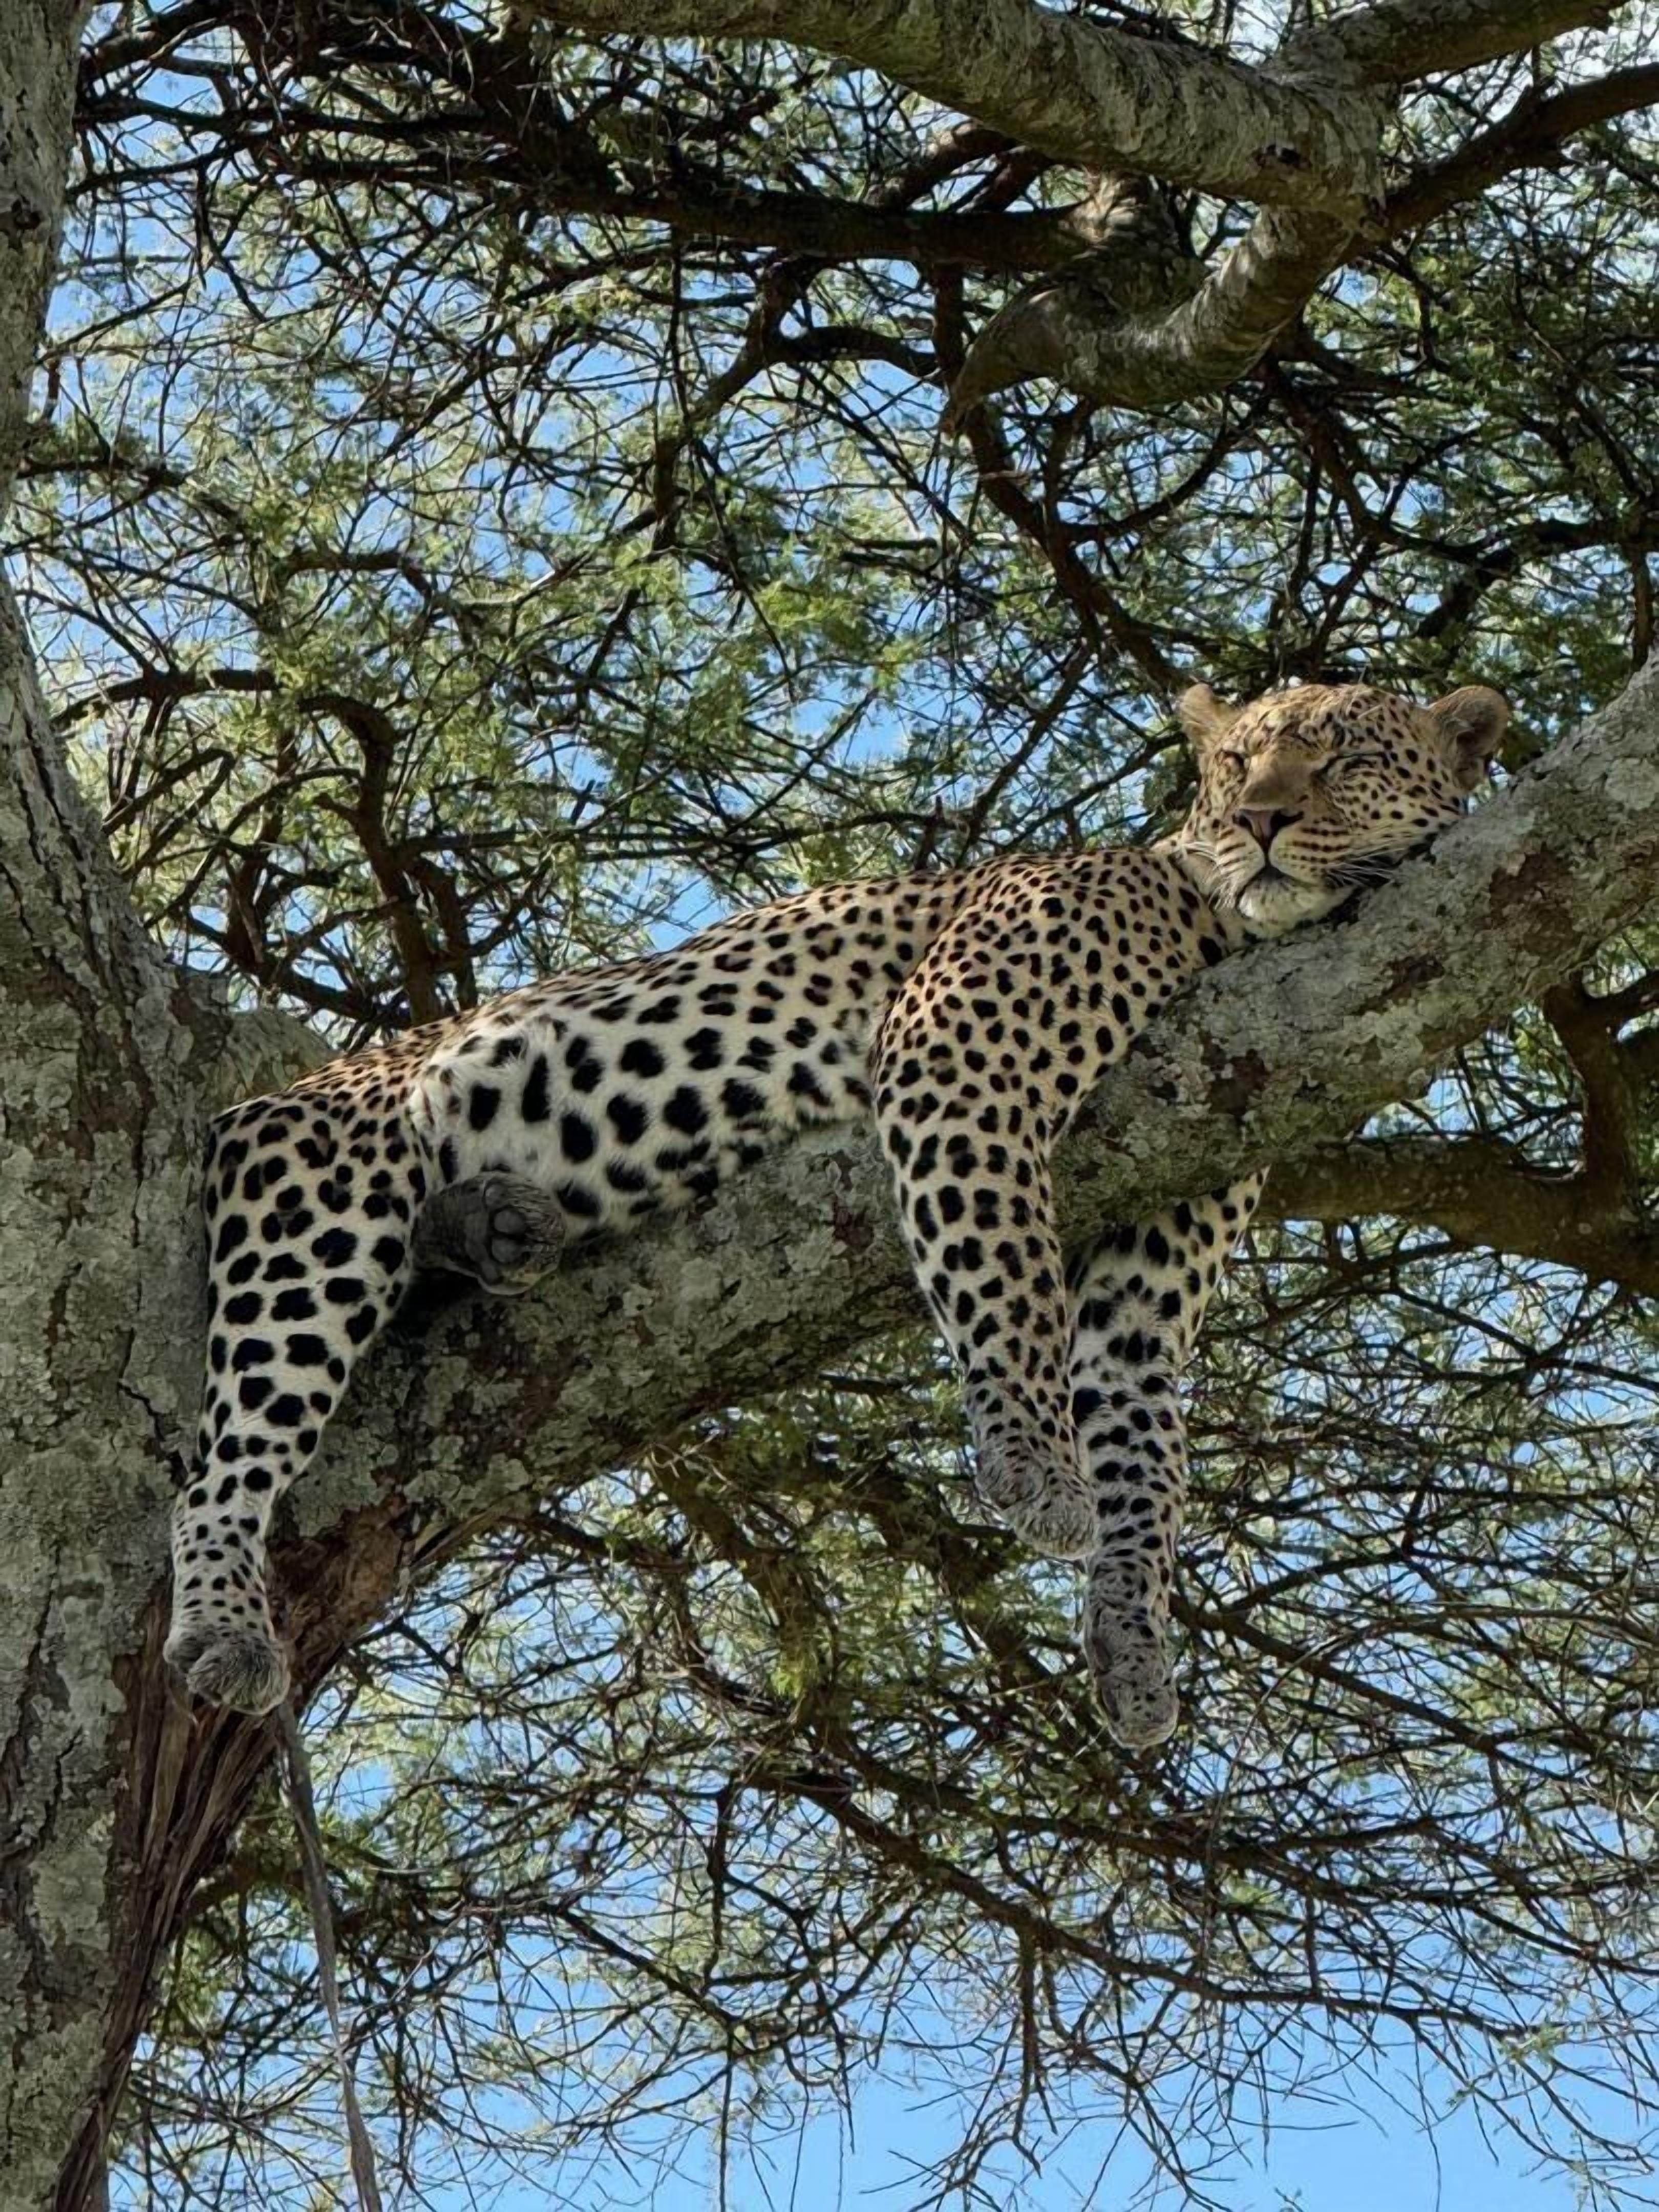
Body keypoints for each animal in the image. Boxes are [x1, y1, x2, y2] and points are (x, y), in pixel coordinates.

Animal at [168, 676, 1507, 1747]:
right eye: (1236, 766)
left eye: (1341, 759)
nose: (1258, 821)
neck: (1225, 937)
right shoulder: (962, 1054)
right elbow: (1009, 1278)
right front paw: (1034, 1468)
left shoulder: (1166, 1233)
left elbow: (1148, 1457)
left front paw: (1132, 1642)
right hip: (323, 1182)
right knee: (220, 1465)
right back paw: (226, 1625)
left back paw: (495, 1226)